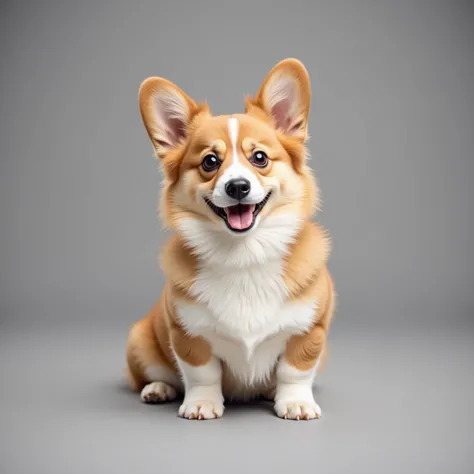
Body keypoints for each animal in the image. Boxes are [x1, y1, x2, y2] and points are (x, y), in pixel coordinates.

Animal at [126, 58, 334, 418]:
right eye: (210, 161)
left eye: (259, 157)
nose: (237, 186)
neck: (243, 254)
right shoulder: (188, 334)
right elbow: (201, 373)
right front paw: (202, 404)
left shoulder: (309, 329)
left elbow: (294, 371)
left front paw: (295, 402)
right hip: (140, 340)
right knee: (156, 374)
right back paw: (158, 389)